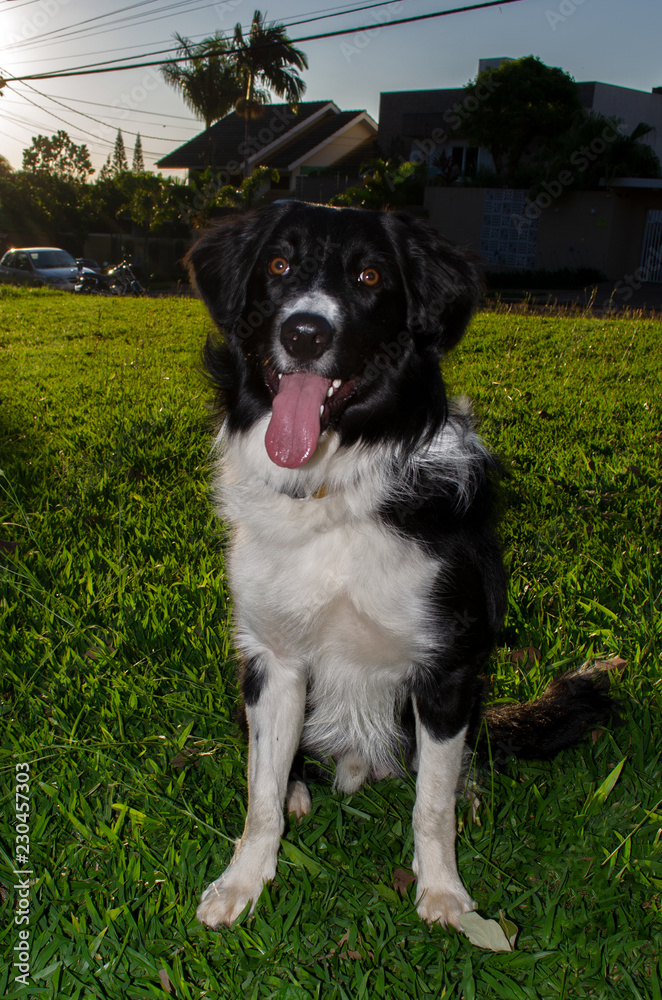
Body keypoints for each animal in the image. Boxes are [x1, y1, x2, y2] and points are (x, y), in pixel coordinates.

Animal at [184, 201, 616, 928]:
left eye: (369, 277)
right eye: (278, 264)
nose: (304, 333)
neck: (335, 484)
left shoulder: (447, 671)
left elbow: (431, 806)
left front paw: (444, 894)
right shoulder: (273, 658)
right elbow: (260, 795)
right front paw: (244, 880)